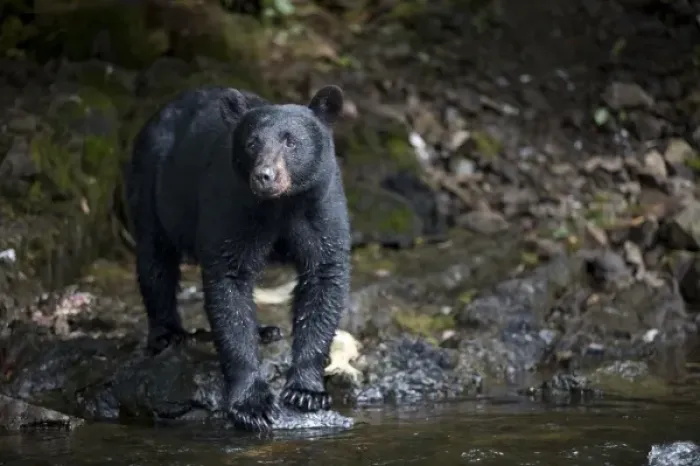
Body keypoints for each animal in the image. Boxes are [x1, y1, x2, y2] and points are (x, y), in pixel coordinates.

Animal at [124, 84, 351, 432]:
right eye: (252, 142)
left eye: (290, 141)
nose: (264, 176)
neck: (280, 206)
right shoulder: (232, 206)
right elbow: (229, 284)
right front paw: (252, 404)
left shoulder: (320, 207)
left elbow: (324, 277)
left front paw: (306, 391)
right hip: (151, 181)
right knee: (155, 259)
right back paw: (167, 334)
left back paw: (265, 331)